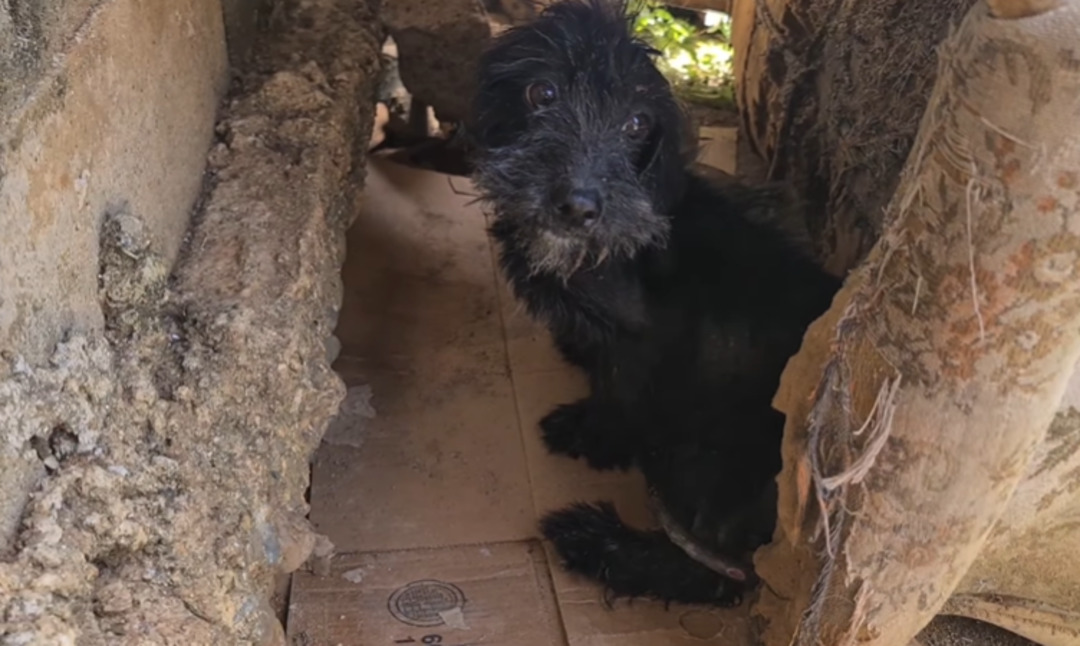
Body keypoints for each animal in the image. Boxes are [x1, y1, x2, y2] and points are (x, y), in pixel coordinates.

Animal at [468, 0, 838, 609]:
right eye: (542, 92)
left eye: (636, 124)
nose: (578, 205)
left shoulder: (650, 337)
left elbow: (618, 390)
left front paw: (590, 434)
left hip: (710, 461)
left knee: (716, 574)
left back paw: (594, 540)